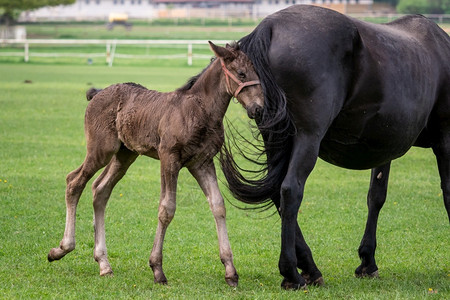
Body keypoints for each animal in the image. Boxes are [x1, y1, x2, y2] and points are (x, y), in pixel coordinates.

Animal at [221, 4, 450, 290]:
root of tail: (270, 26)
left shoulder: (383, 147)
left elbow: (376, 197)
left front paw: (367, 261)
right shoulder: (445, 140)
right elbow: (448, 194)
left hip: (276, 138)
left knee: (277, 192)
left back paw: (309, 267)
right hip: (308, 138)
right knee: (290, 191)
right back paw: (292, 273)